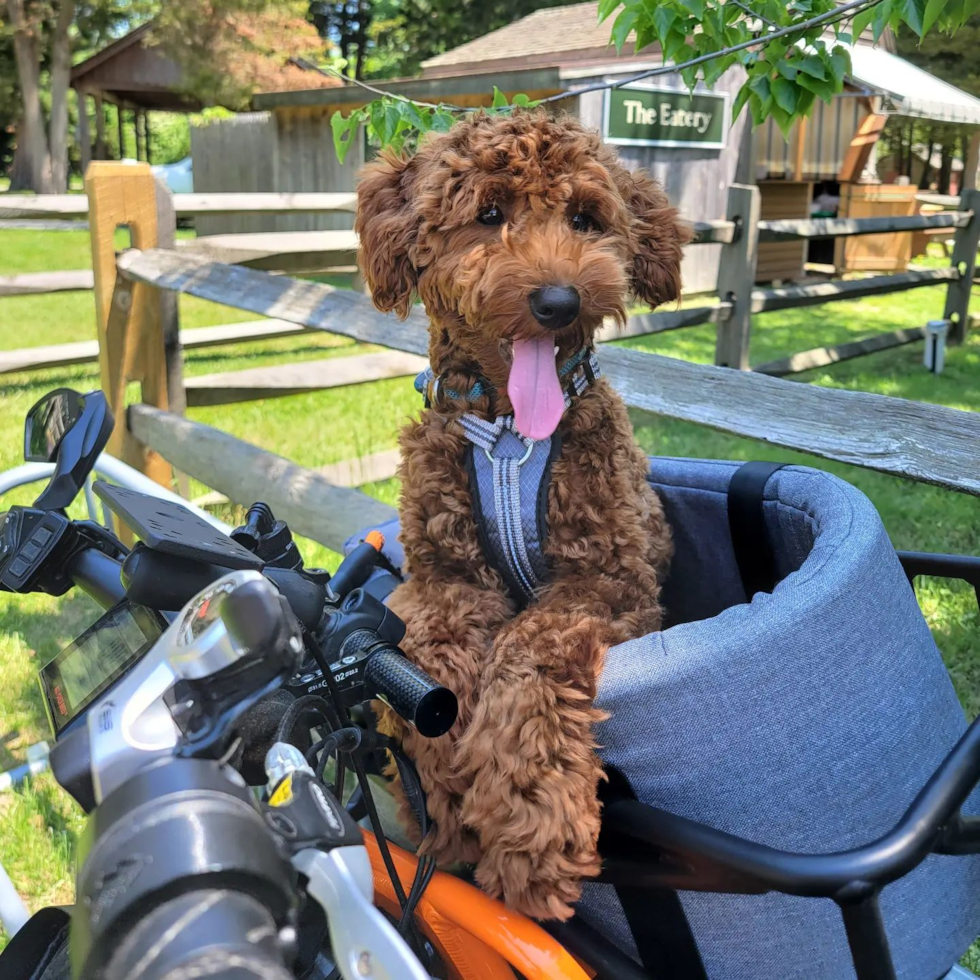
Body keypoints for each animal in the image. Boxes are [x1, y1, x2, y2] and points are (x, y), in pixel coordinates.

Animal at [356, 111, 684, 924]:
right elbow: (431, 653)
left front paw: (527, 829)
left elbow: (528, 651)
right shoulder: (440, 579)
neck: (508, 437)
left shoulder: (612, 586)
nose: (558, 301)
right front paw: (445, 789)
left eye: (585, 218)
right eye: (489, 213)